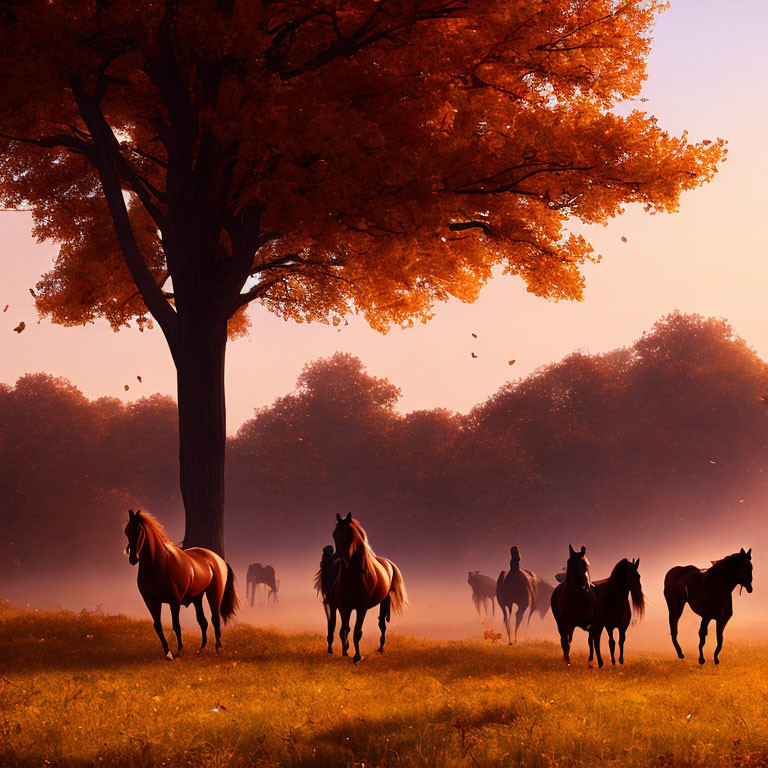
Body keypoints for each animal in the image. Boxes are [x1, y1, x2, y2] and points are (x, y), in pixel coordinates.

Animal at [123, 510, 238, 660]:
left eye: (140, 531)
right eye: (126, 531)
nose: (133, 559)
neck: (158, 565)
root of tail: (218, 559)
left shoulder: (174, 601)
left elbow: (176, 625)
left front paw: (179, 651)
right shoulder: (151, 601)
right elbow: (158, 626)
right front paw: (168, 653)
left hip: (214, 594)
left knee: (215, 619)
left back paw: (217, 648)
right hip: (197, 598)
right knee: (203, 621)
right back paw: (201, 649)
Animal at [332, 512, 412, 664]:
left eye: (351, 534)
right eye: (334, 534)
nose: (340, 559)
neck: (352, 575)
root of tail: (388, 563)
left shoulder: (361, 608)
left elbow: (357, 632)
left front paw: (357, 657)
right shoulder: (343, 607)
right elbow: (344, 630)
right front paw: (345, 653)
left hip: (385, 601)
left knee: (382, 624)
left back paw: (380, 648)